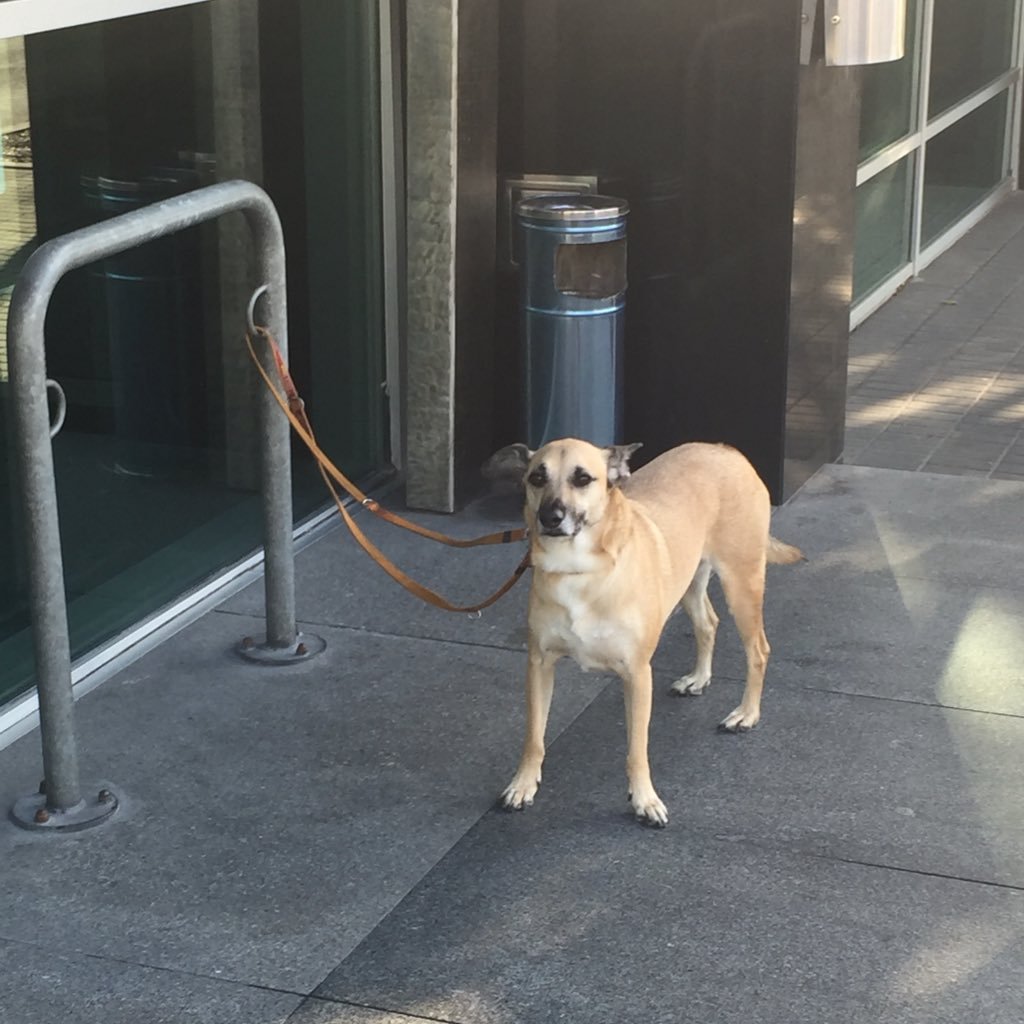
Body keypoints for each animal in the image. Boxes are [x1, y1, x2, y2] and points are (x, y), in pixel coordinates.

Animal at [489, 438, 806, 823]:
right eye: (537, 477)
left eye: (582, 478)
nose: (550, 517)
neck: (578, 570)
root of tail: (725, 449)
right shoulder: (539, 665)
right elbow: (534, 737)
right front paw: (523, 784)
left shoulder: (637, 675)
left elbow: (637, 748)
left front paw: (644, 799)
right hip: (688, 581)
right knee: (708, 623)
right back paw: (698, 678)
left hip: (741, 584)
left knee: (758, 650)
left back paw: (746, 714)